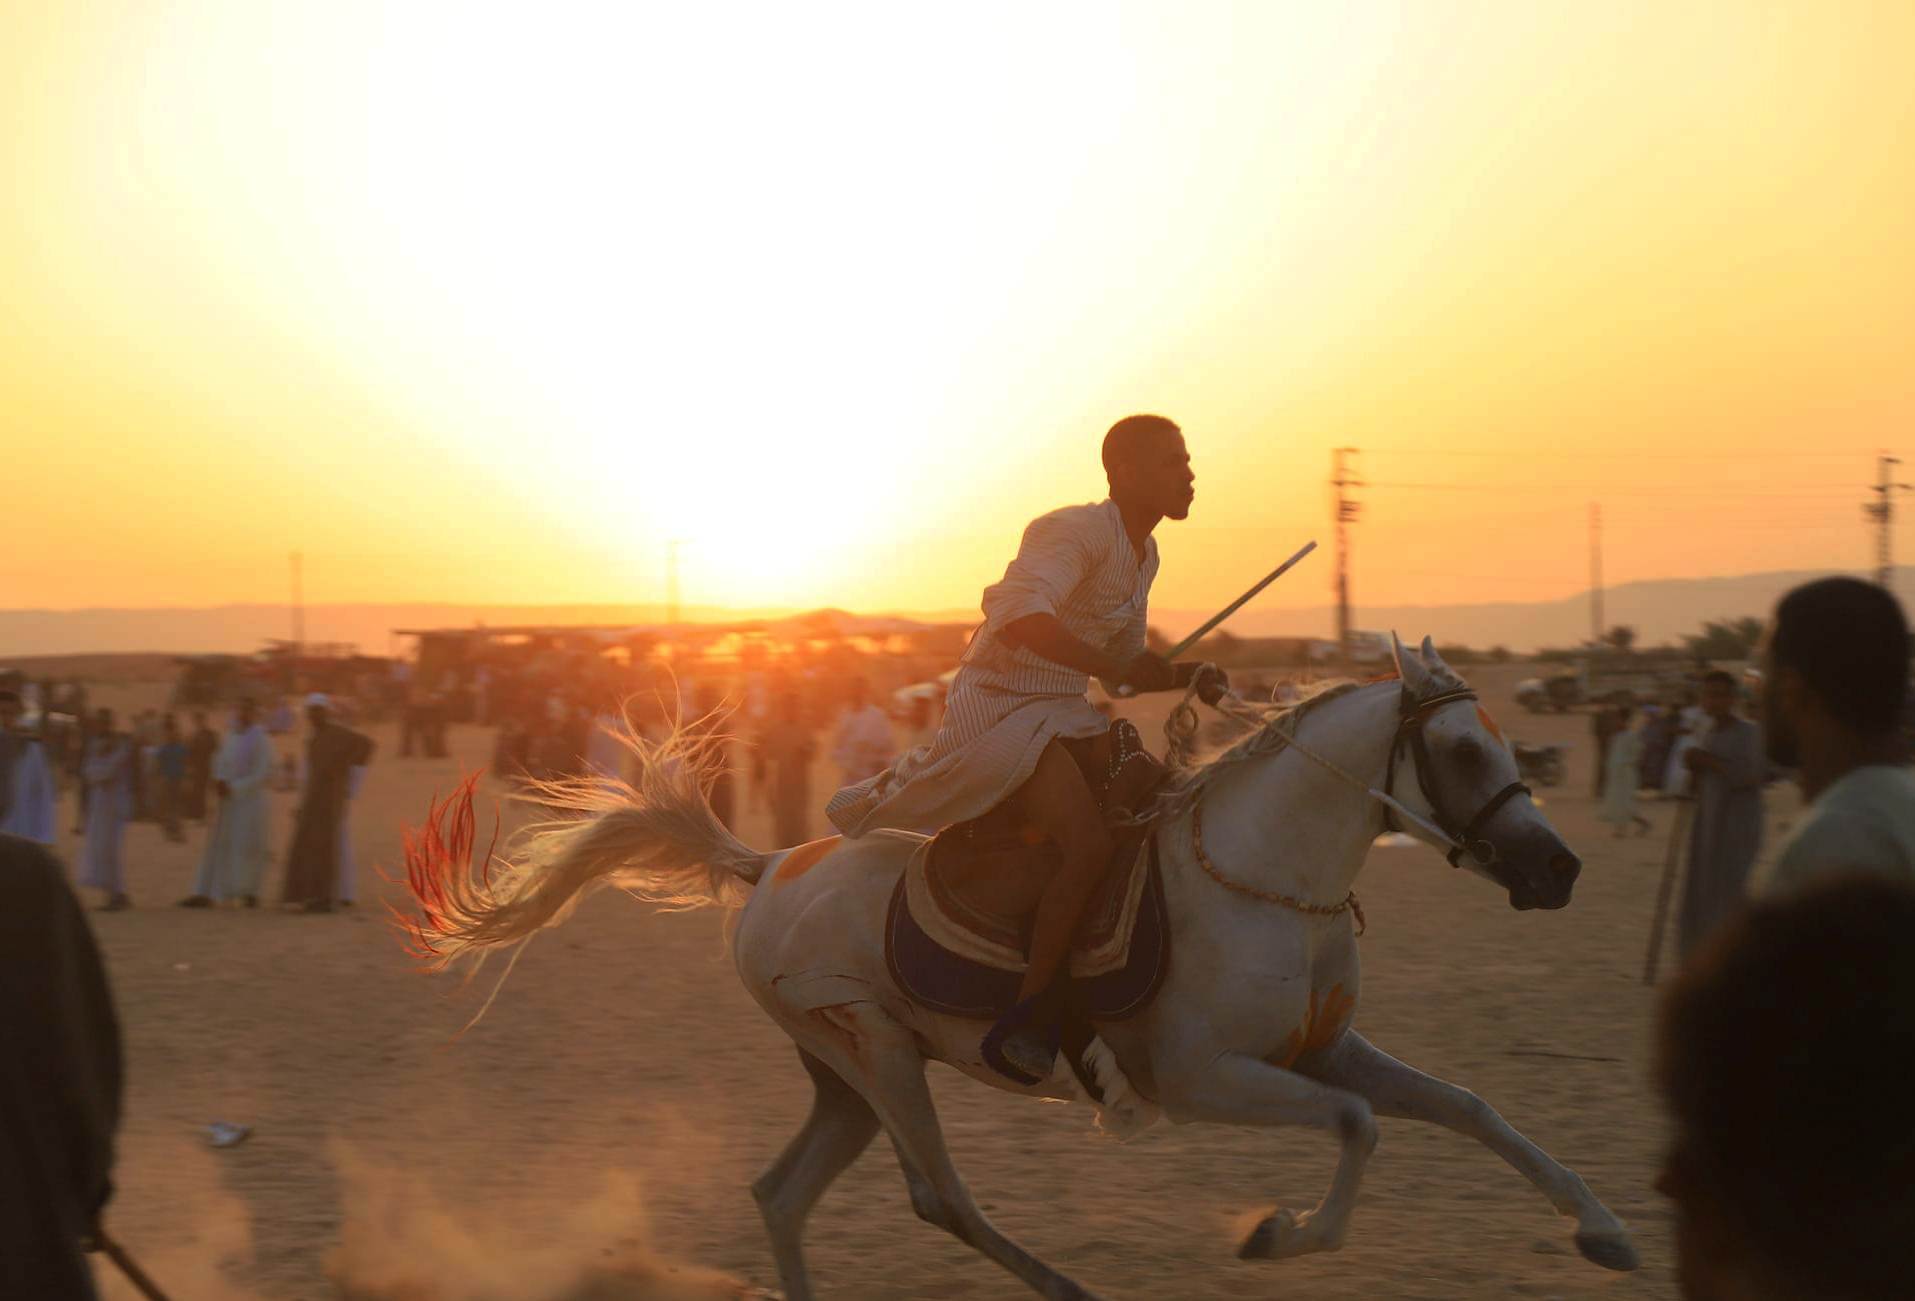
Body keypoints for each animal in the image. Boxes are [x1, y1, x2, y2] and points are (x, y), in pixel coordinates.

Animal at [400, 639, 1631, 1301]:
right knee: (938, 1194)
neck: (1264, 879)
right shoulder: (1205, 1077)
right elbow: (1358, 1127)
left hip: (845, 1076)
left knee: (782, 1191)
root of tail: (765, 865)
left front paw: (1602, 1229)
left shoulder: (1325, 1047)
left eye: (1507, 742)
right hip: (880, 1055)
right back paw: (1069, 1285)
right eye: (1463, 748)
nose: (1560, 867)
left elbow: (1468, 1107)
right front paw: (1275, 1233)